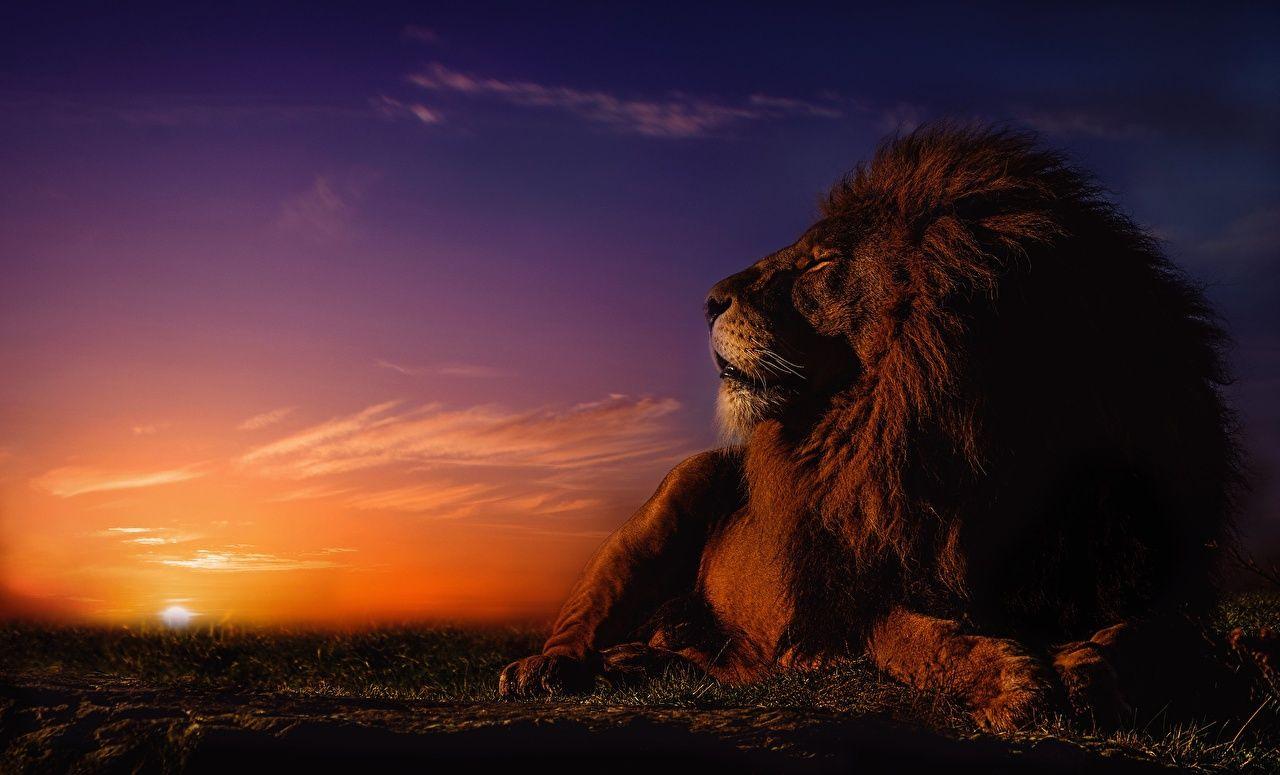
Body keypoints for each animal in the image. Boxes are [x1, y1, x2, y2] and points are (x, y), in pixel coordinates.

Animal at [498, 124, 1242, 730]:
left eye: (822, 262)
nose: (707, 300)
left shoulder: (1145, 572)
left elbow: (1152, 635)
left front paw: (1087, 670)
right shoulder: (855, 600)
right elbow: (916, 636)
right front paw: (1013, 681)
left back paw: (639, 661)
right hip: (672, 499)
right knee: (585, 618)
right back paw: (548, 667)